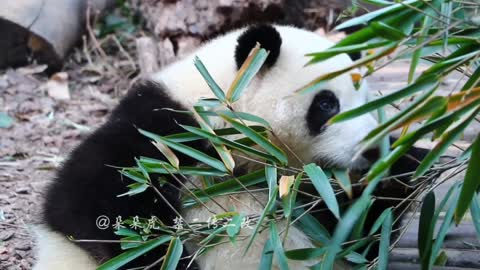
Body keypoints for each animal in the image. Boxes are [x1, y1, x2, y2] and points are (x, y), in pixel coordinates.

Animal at [32, 24, 428, 268]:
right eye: (328, 103)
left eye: (368, 99)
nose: (373, 151)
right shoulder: (162, 134)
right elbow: (94, 207)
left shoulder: (311, 194)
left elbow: (361, 230)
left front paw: (406, 163)